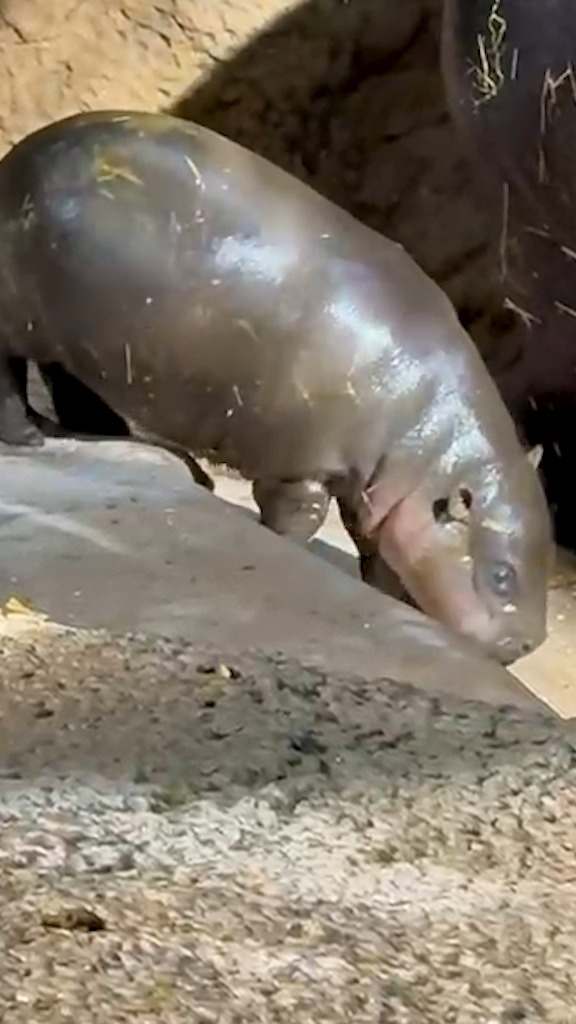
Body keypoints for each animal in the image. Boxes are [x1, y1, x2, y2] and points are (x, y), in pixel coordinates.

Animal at [0, 109, 552, 663]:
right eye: (502, 576)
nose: (526, 645)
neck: (427, 444)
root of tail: (18, 158)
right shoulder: (304, 462)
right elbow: (299, 515)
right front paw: (287, 546)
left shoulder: (376, 494)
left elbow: (378, 555)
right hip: (21, 315)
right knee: (8, 371)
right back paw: (29, 438)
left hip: (76, 332)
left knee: (66, 376)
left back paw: (112, 433)